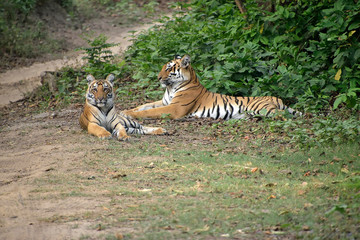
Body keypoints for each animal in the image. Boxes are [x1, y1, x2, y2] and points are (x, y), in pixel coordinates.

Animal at [123, 55, 300, 121]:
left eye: (169, 68)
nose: (158, 78)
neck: (171, 88)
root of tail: (276, 98)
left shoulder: (174, 108)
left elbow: (148, 112)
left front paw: (130, 115)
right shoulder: (165, 102)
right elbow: (144, 106)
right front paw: (126, 111)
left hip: (264, 108)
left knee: (283, 115)